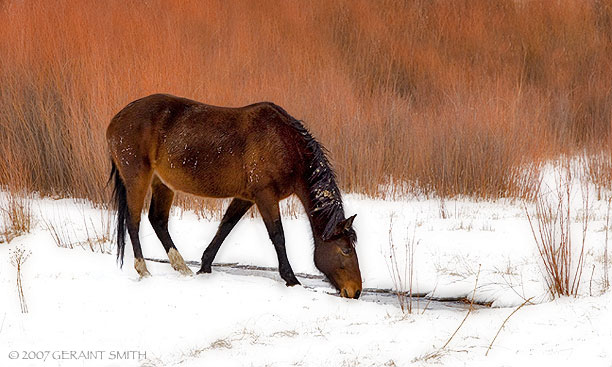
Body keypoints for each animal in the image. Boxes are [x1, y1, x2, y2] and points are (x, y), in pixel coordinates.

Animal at [106, 93, 364, 298]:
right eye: (345, 250)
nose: (356, 291)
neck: (285, 144)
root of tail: (115, 121)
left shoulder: (246, 197)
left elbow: (225, 228)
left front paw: (205, 267)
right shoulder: (265, 196)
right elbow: (278, 236)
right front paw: (291, 279)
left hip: (163, 183)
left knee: (158, 220)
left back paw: (182, 267)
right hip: (137, 178)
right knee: (133, 221)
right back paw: (143, 270)